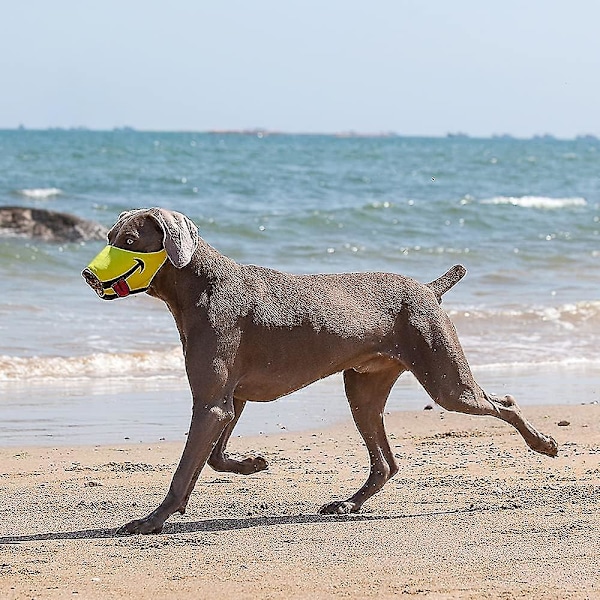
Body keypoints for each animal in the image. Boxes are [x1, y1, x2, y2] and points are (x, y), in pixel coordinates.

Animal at [81, 207, 556, 536]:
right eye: (108, 237)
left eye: (128, 239)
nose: (87, 274)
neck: (201, 283)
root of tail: (428, 288)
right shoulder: (230, 400)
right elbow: (212, 457)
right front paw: (253, 463)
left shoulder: (212, 401)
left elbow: (184, 471)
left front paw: (151, 520)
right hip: (363, 388)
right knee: (386, 463)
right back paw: (348, 504)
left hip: (446, 382)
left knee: (503, 403)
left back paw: (544, 443)